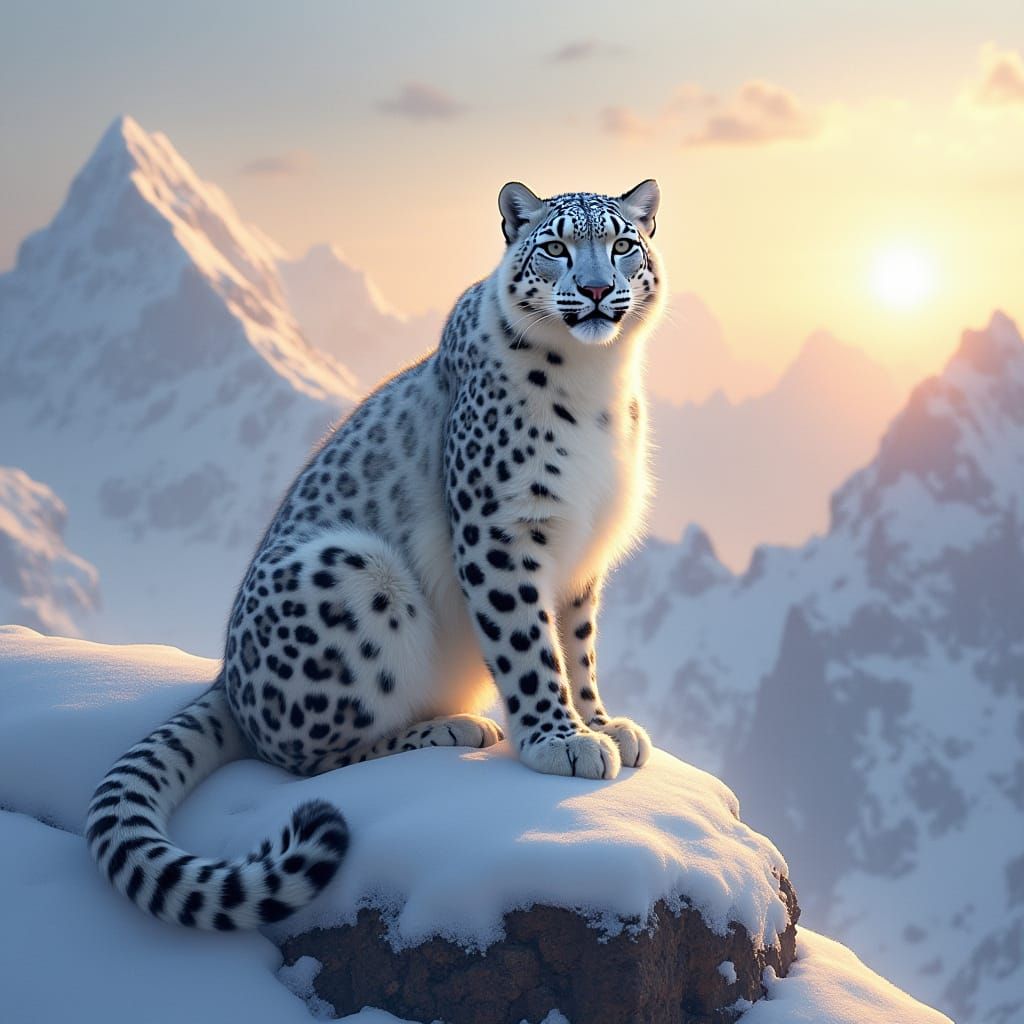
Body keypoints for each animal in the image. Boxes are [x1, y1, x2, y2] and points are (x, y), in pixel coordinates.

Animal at [85, 180, 665, 929]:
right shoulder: (502, 529)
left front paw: (601, 723)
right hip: (355, 575)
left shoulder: (580, 557)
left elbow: (577, 647)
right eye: (555, 248)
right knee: (307, 757)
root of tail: (225, 680)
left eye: (623, 243)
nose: (596, 290)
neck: (599, 383)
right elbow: (529, 648)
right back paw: (450, 729)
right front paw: (559, 742)